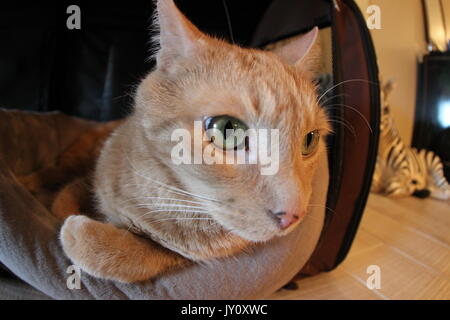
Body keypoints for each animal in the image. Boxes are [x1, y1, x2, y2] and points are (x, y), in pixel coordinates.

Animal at [44, 0, 330, 282]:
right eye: (227, 129)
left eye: (309, 140)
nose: (292, 216)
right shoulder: (92, 179)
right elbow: (68, 198)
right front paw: (62, 211)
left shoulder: (181, 256)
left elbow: (137, 256)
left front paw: (80, 232)